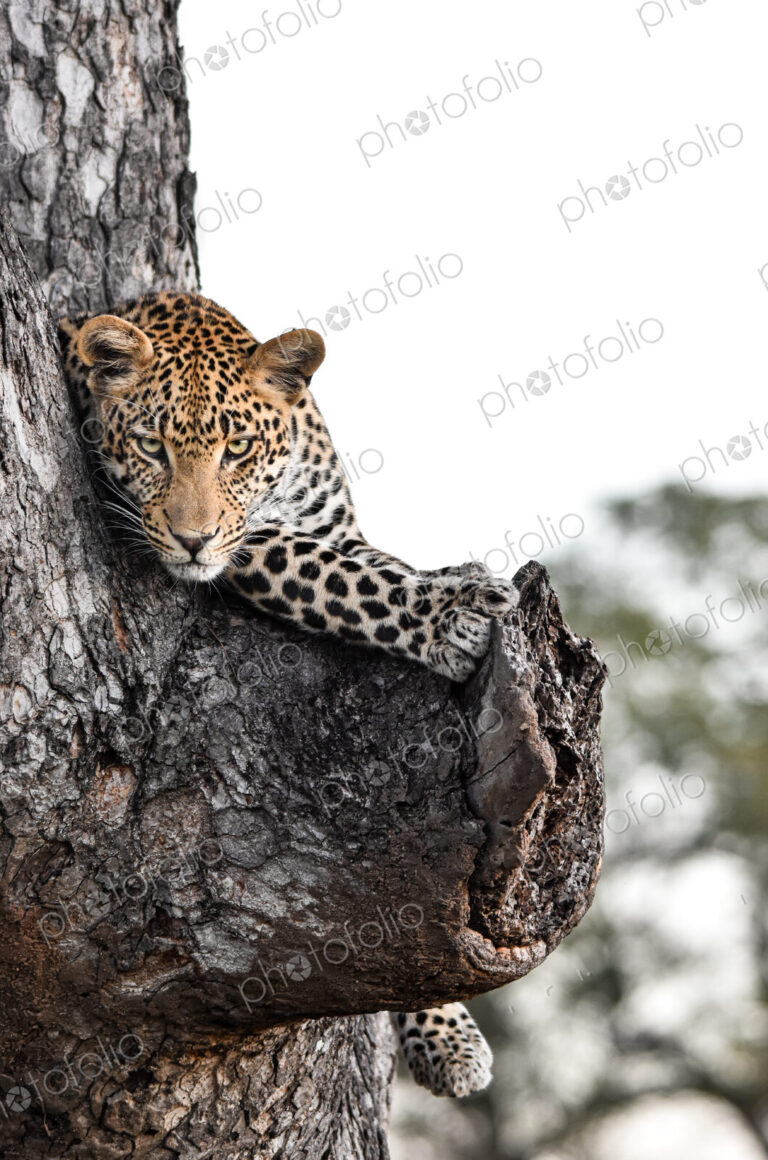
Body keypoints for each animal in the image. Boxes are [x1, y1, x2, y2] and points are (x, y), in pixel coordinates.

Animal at [60, 290, 514, 1097]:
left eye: (237, 450)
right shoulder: (257, 542)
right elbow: (350, 583)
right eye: (151, 447)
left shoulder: (327, 528)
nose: (193, 540)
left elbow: (378, 566)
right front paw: (448, 614)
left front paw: (446, 1033)